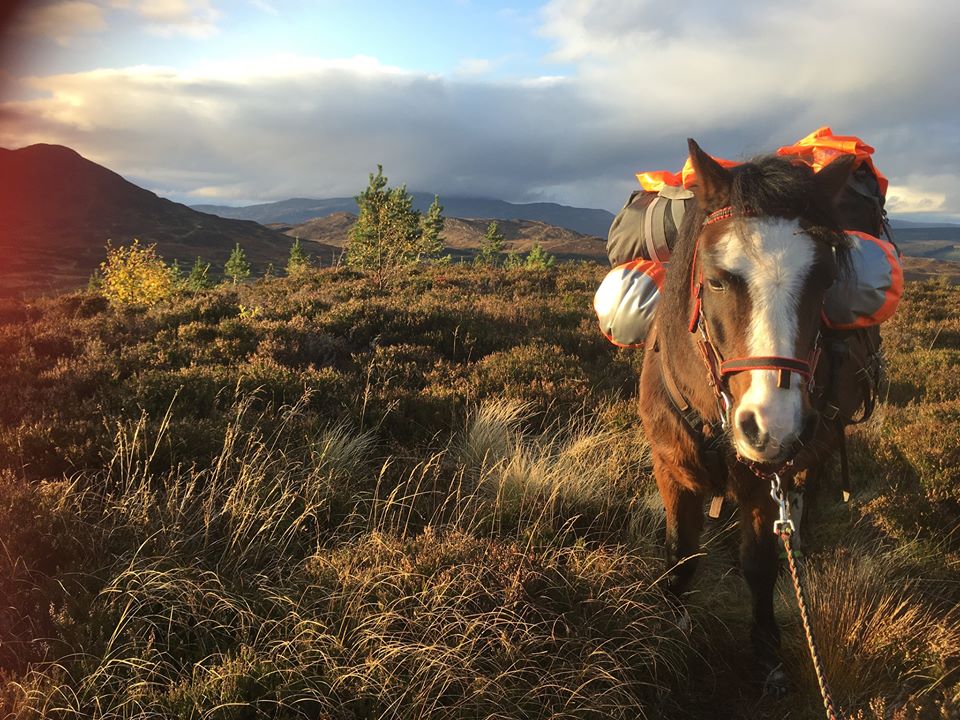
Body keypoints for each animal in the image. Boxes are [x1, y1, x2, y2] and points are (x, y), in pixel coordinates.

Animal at [636, 138, 876, 696]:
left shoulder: (766, 481)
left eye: (826, 280)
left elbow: (760, 564)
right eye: (717, 281)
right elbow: (679, 553)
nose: (772, 426)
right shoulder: (670, 467)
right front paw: (668, 628)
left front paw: (767, 653)